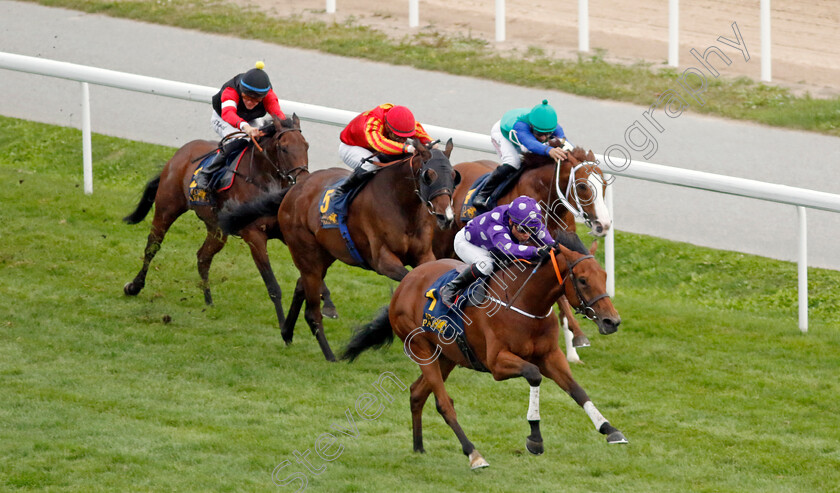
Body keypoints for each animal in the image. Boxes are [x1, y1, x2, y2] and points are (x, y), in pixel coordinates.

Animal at [122, 115, 338, 326]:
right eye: (283, 148)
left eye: (306, 146)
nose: (302, 180)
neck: (262, 181)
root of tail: (180, 153)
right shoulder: (254, 235)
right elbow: (272, 285)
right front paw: (284, 324)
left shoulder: (285, 233)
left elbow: (312, 270)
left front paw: (327, 303)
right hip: (167, 208)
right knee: (152, 246)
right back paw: (134, 286)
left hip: (217, 229)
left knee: (203, 257)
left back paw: (208, 301)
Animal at [218, 139, 460, 362]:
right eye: (428, 175)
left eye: (454, 176)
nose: (445, 217)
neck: (401, 204)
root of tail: (294, 189)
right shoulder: (382, 261)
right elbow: (407, 277)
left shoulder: (424, 255)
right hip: (306, 254)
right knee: (312, 310)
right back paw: (330, 356)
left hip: (324, 255)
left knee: (300, 286)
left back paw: (287, 332)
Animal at [342, 229, 624, 468]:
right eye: (583, 280)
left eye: (605, 277)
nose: (612, 322)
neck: (525, 303)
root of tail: (404, 284)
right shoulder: (497, 363)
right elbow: (534, 375)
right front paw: (535, 439)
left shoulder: (550, 356)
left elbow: (577, 390)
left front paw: (610, 429)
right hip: (422, 350)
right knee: (443, 403)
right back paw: (474, 454)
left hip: (446, 356)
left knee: (417, 393)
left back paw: (418, 447)